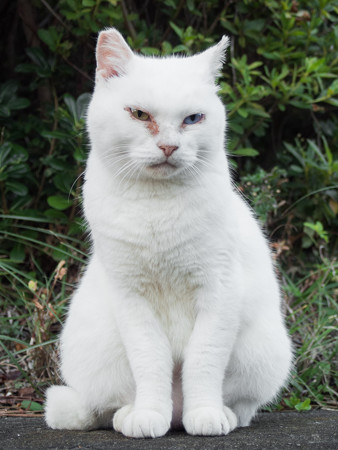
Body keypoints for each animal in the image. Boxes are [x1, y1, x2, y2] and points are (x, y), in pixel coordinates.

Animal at [45, 28, 292, 440]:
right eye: (139, 114)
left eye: (193, 118)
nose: (169, 146)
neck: (157, 209)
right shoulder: (131, 298)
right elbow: (151, 360)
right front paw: (148, 415)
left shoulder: (219, 292)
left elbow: (203, 362)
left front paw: (206, 415)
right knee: (107, 407)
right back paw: (132, 414)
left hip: (265, 350)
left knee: (241, 406)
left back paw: (220, 414)